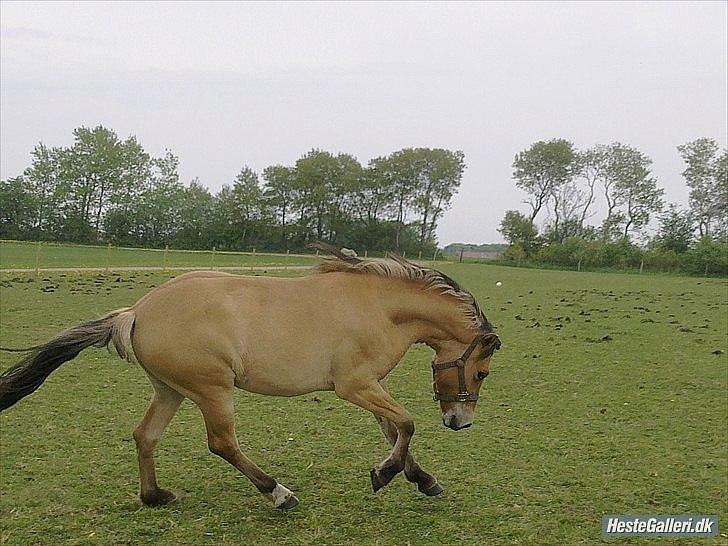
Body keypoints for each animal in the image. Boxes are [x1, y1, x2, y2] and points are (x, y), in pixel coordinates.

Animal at [0, 242, 500, 506]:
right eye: (481, 373)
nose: (460, 422)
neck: (379, 306)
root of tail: (137, 311)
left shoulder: (371, 386)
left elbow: (394, 430)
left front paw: (419, 479)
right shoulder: (354, 386)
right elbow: (407, 424)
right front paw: (387, 473)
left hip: (171, 390)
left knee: (145, 436)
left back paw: (156, 496)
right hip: (212, 390)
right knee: (222, 443)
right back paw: (278, 493)